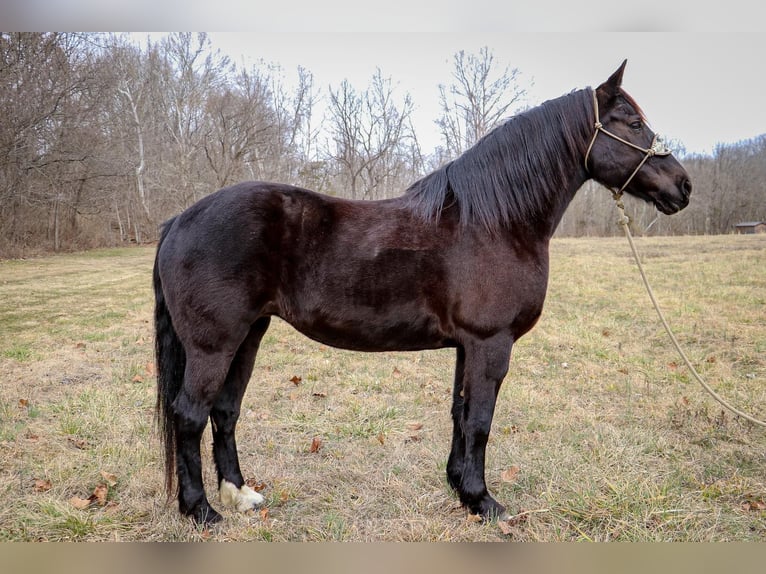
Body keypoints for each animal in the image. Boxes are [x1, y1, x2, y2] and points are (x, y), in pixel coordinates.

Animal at [153, 62, 692, 528]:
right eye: (632, 123)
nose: (683, 186)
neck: (495, 222)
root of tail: (180, 219)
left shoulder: (468, 346)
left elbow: (460, 413)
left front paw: (459, 487)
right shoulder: (491, 343)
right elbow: (480, 421)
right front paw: (483, 502)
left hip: (249, 334)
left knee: (224, 411)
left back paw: (239, 494)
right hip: (214, 345)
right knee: (190, 415)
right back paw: (201, 510)